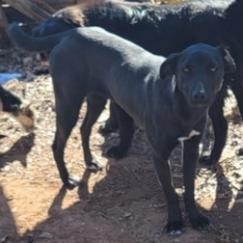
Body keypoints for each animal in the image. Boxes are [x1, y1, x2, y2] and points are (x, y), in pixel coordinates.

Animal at [7, 24, 235, 234]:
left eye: (213, 68)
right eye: (186, 69)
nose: (200, 95)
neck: (181, 107)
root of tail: (71, 32)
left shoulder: (191, 148)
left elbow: (189, 188)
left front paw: (196, 218)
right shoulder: (159, 155)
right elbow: (170, 190)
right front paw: (174, 222)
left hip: (96, 99)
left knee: (84, 129)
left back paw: (90, 162)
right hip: (68, 103)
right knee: (57, 144)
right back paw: (67, 179)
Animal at [31, 0, 243, 167]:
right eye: (46, 49)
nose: (49, 65)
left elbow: (125, 124)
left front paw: (120, 148)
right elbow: (114, 109)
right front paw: (110, 125)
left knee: (222, 124)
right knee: (223, 124)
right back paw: (215, 157)